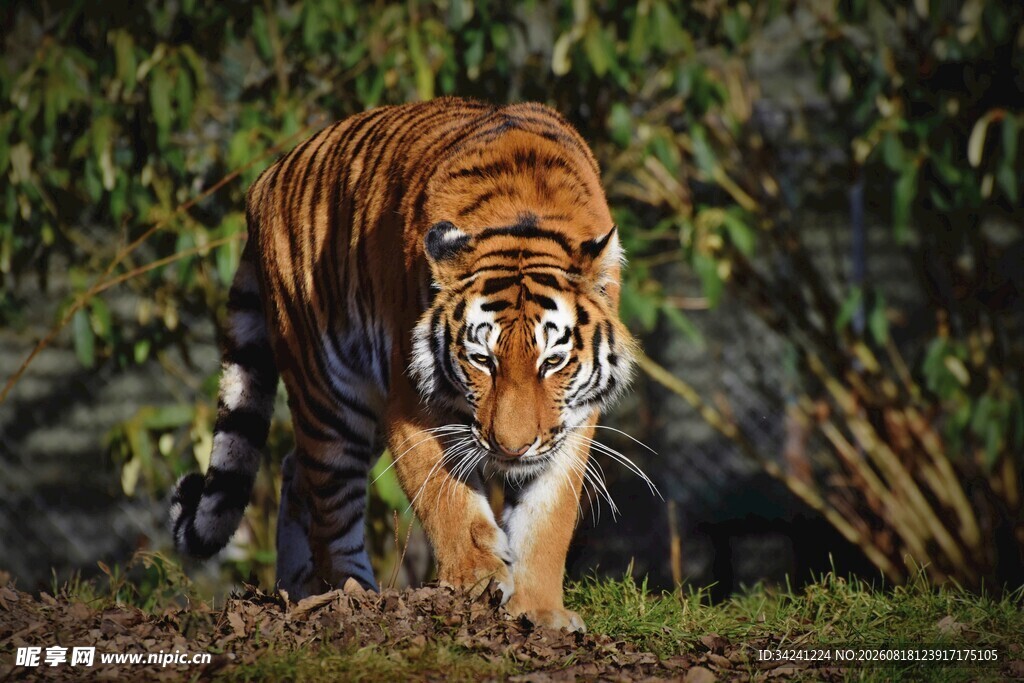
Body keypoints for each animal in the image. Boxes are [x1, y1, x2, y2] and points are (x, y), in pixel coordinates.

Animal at [169, 97, 637, 632]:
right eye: (482, 360)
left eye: (552, 361)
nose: (511, 448)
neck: (524, 214)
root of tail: (263, 180)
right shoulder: (411, 402)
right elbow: (448, 500)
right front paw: (477, 581)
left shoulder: (570, 423)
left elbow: (547, 519)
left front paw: (540, 612)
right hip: (330, 396)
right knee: (329, 502)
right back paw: (352, 595)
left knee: (294, 470)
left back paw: (299, 589)